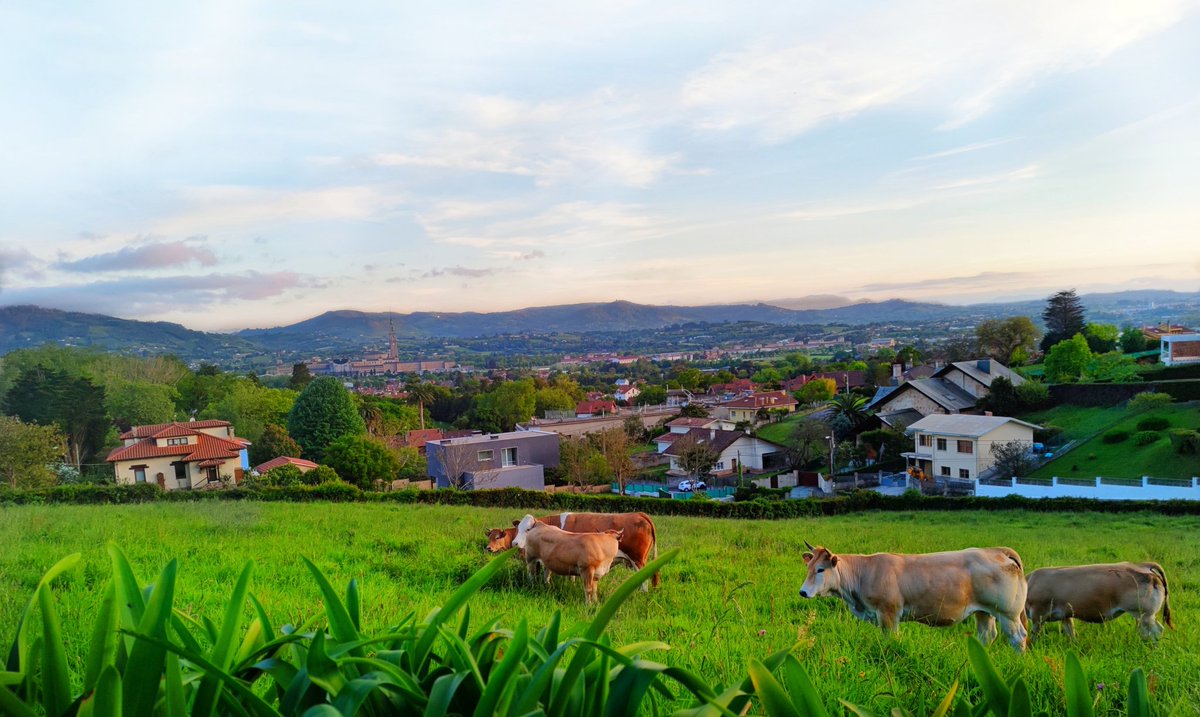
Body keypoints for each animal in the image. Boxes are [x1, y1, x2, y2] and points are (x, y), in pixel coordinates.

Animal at [482, 510, 662, 589]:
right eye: (518, 528)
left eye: (528, 530)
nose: (515, 543)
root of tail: (639, 514)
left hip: (638, 560)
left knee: (644, 580)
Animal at [796, 541, 1032, 657]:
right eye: (809, 567)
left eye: (820, 569)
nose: (803, 592)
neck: (865, 572)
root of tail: (995, 550)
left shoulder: (888, 613)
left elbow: (891, 640)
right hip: (984, 612)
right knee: (987, 635)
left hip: (1008, 614)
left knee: (1018, 638)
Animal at [1022, 565, 1171, 642]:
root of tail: (1144, 567)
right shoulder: (1066, 616)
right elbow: (1071, 633)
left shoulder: (1038, 614)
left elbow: (1033, 636)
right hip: (1146, 616)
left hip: (1144, 615)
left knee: (1156, 631)